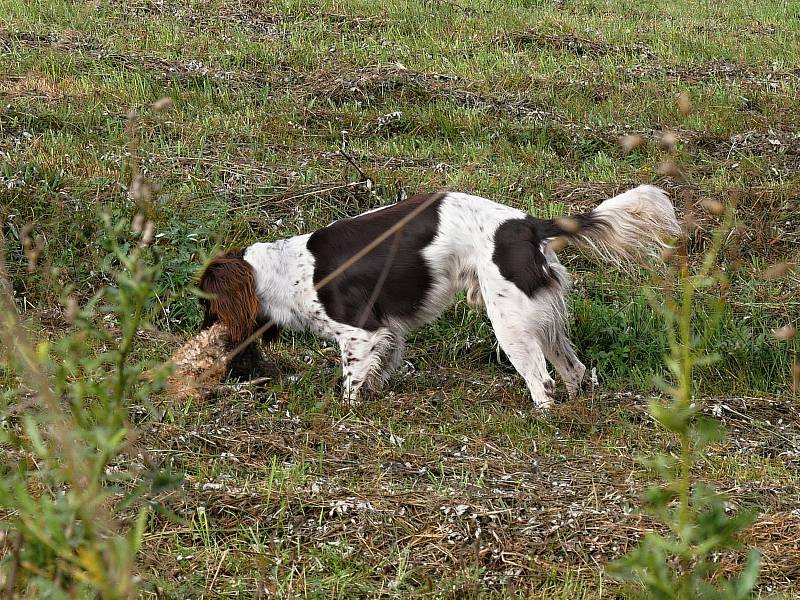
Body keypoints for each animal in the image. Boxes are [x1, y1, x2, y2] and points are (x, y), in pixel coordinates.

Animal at [197, 185, 680, 406]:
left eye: (206, 304)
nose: (203, 333)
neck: (283, 270)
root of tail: (527, 225)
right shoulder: (389, 333)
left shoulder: (361, 332)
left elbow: (352, 381)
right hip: (543, 319)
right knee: (574, 370)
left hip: (510, 322)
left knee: (541, 381)